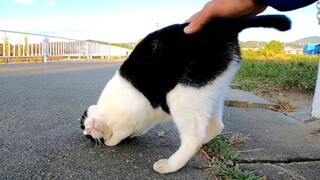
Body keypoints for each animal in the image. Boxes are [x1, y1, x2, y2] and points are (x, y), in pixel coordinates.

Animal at [80, 15, 290, 173]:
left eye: (83, 122)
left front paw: (111, 140)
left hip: (185, 93)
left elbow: (117, 135)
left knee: (193, 137)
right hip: (208, 92)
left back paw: (170, 165)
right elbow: (129, 130)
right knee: (216, 125)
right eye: (86, 133)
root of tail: (223, 25)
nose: (87, 131)